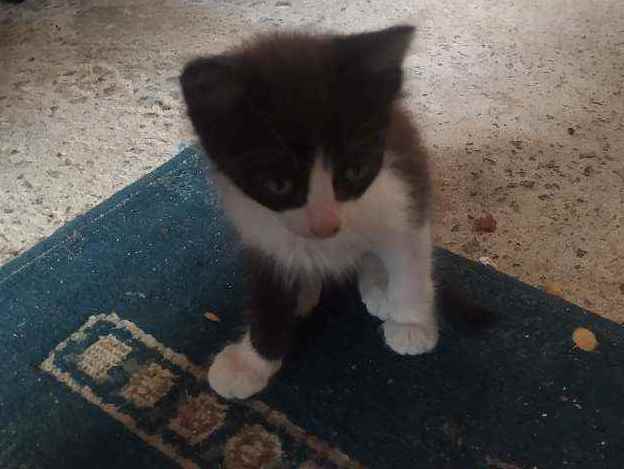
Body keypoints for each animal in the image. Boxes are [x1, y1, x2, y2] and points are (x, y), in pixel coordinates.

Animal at [180, 25, 439, 399]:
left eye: (355, 171)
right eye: (277, 184)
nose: (325, 225)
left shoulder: (402, 191)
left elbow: (410, 265)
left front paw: (410, 323)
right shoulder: (261, 233)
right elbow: (269, 296)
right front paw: (251, 363)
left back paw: (378, 286)